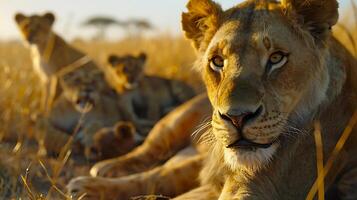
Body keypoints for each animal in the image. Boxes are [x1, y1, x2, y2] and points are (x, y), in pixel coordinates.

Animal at [67, 0, 356, 198]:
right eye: (217, 62)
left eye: (276, 58)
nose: (237, 117)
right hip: (176, 121)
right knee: (151, 157)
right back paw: (101, 171)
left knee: (162, 174)